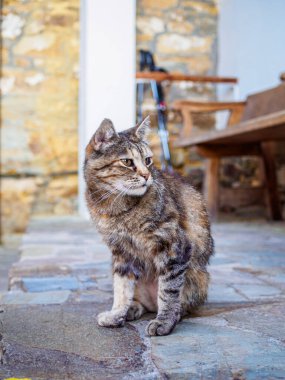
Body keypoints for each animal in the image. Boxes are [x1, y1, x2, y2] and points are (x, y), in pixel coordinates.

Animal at [84, 116, 213, 336]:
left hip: (199, 279)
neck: (115, 207)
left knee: (179, 303)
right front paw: (117, 314)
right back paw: (131, 310)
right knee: (141, 302)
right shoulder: (121, 252)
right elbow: (122, 288)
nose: (146, 175)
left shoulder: (175, 247)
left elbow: (168, 291)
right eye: (127, 162)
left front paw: (164, 322)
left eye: (148, 160)